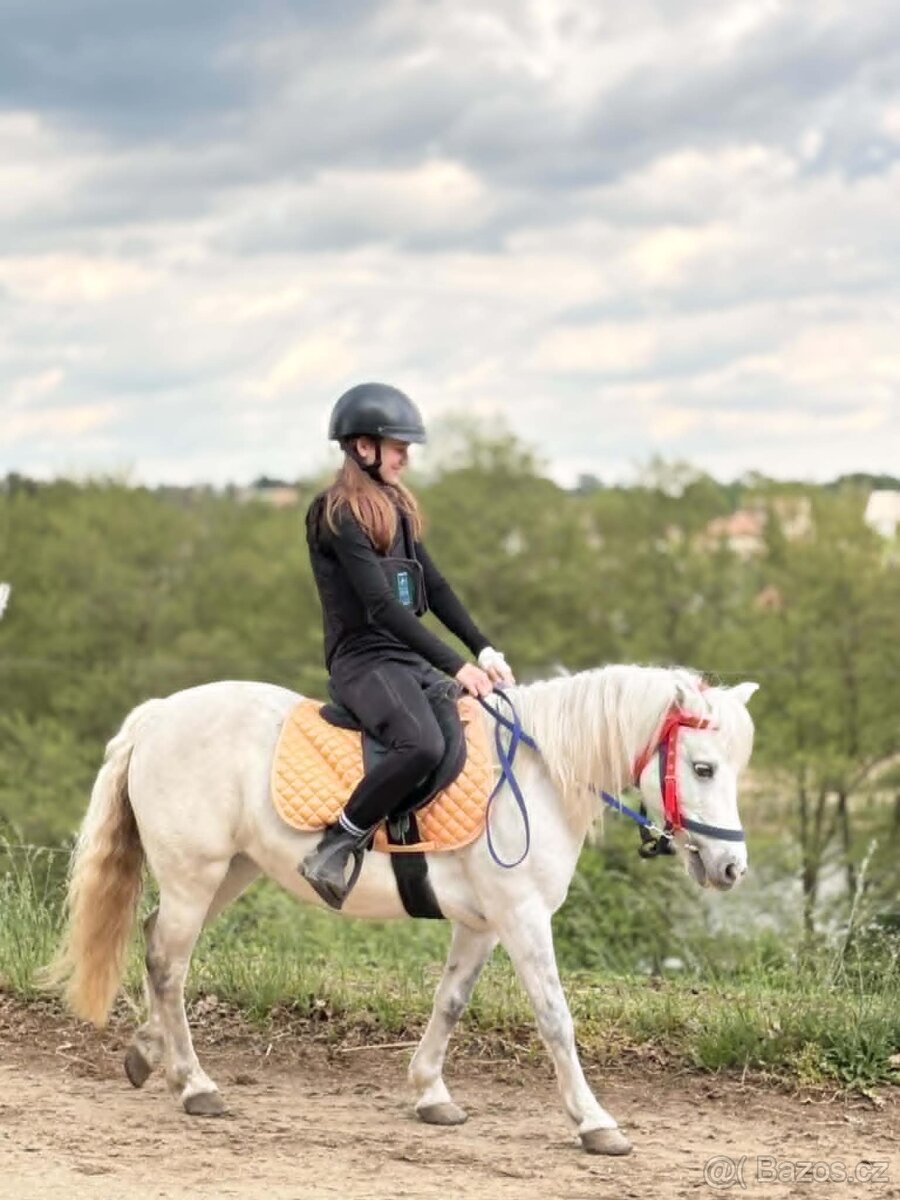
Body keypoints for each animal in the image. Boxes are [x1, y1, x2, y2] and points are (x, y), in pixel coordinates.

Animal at [47, 664, 757, 1156]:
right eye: (702, 767)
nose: (731, 868)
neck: (537, 777)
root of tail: (160, 714)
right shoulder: (523, 918)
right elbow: (556, 1018)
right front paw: (595, 1122)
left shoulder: (482, 925)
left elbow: (450, 1003)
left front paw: (430, 1094)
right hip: (195, 875)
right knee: (169, 963)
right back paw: (195, 1084)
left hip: (228, 873)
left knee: (158, 948)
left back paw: (151, 1054)